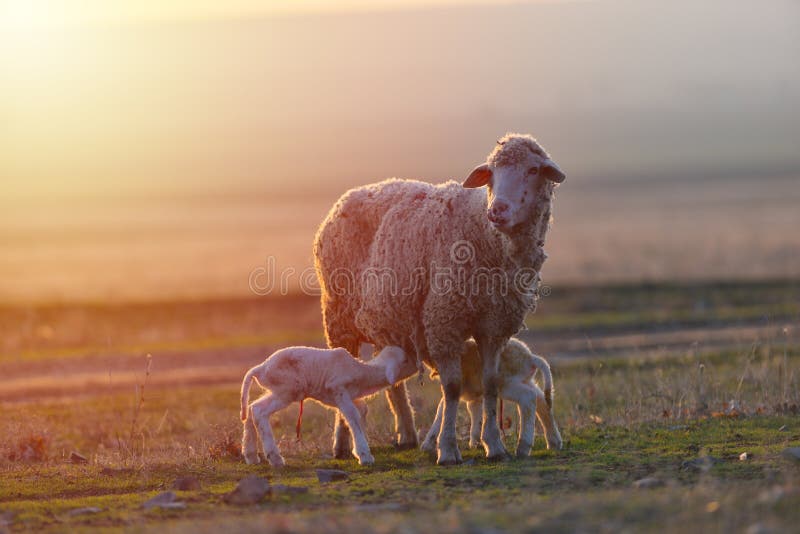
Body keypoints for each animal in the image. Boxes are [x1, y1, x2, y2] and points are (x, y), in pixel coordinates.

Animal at [240, 345, 416, 467]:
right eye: (405, 360)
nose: (418, 363)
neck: (361, 373)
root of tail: (260, 368)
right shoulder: (339, 389)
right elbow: (353, 416)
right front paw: (365, 455)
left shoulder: (352, 397)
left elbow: (360, 413)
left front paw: (359, 449)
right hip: (287, 390)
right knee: (259, 411)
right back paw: (275, 458)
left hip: (279, 390)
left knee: (251, 408)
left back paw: (251, 455)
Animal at [421, 338, 562, 457]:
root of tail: (530, 357)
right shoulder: (475, 396)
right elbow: (473, 412)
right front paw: (474, 443)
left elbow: (442, 410)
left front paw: (427, 445)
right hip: (524, 380)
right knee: (541, 399)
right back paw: (554, 442)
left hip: (506, 384)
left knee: (529, 397)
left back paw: (523, 448)